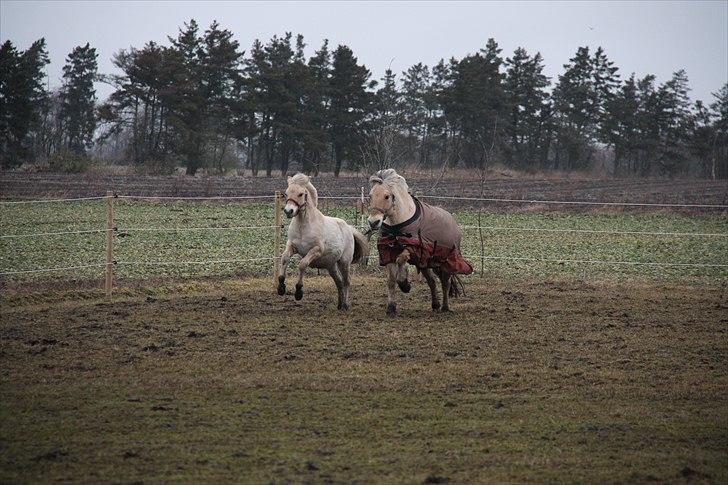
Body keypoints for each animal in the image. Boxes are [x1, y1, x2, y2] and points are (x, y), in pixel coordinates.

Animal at [366, 168, 474, 316]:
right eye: (370, 196)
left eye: (387, 196)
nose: (373, 222)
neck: (397, 225)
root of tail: (453, 223)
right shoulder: (388, 252)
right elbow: (391, 281)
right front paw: (391, 308)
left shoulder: (412, 249)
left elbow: (401, 261)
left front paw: (405, 285)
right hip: (426, 263)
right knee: (432, 281)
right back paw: (435, 305)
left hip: (445, 262)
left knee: (445, 283)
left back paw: (445, 307)